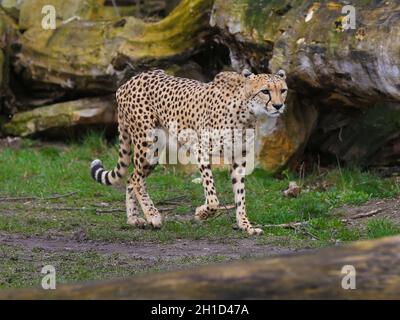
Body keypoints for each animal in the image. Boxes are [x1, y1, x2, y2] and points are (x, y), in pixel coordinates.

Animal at [90, 69, 288, 235]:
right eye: (265, 91)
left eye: (283, 90)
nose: (278, 106)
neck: (247, 111)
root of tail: (127, 82)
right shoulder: (200, 149)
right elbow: (213, 197)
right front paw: (202, 213)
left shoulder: (238, 158)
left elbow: (240, 195)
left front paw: (245, 225)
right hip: (147, 144)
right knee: (137, 180)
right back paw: (153, 215)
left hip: (153, 150)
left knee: (132, 178)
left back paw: (133, 219)